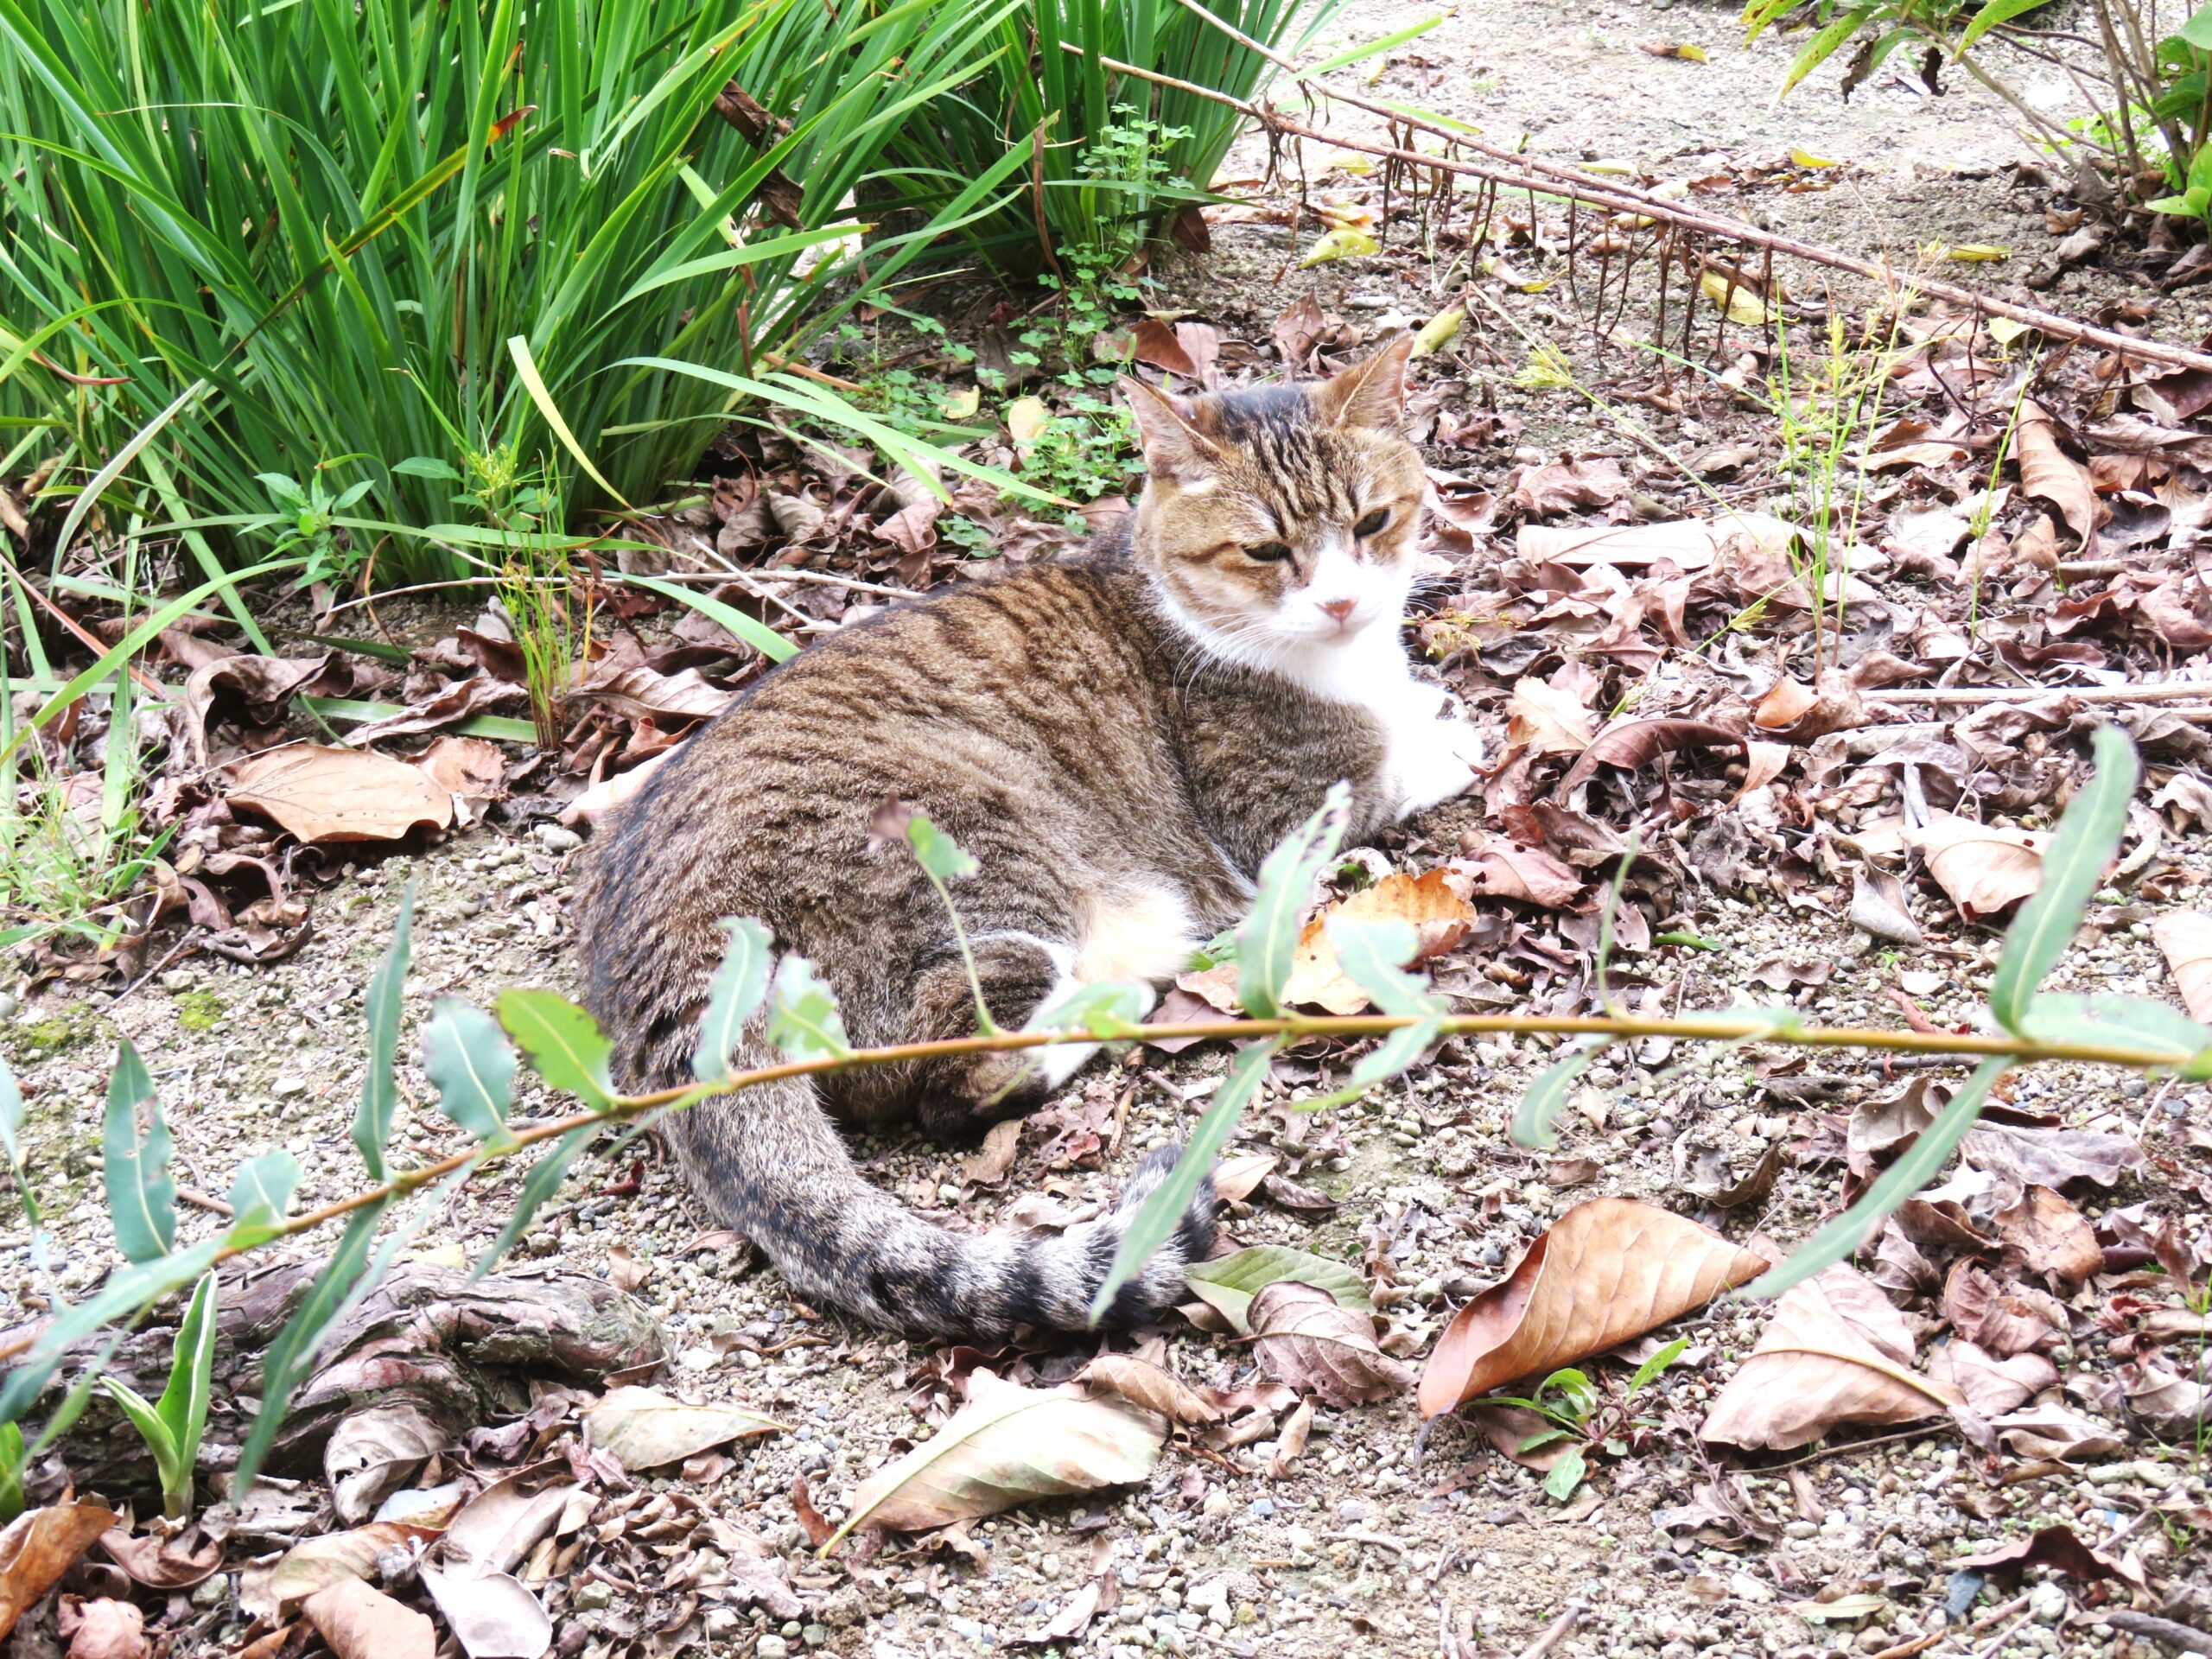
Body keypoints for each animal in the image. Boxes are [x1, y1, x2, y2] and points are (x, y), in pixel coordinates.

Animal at [570, 338, 1478, 1336]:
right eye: (1266, 549)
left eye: (1373, 520)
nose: (1344, 603)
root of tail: (664, 941)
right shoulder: (1274, 818)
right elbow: (1392, 772)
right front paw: (1446, 740)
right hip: (988, 861)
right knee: (943, 1083)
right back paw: (1106, 1010)